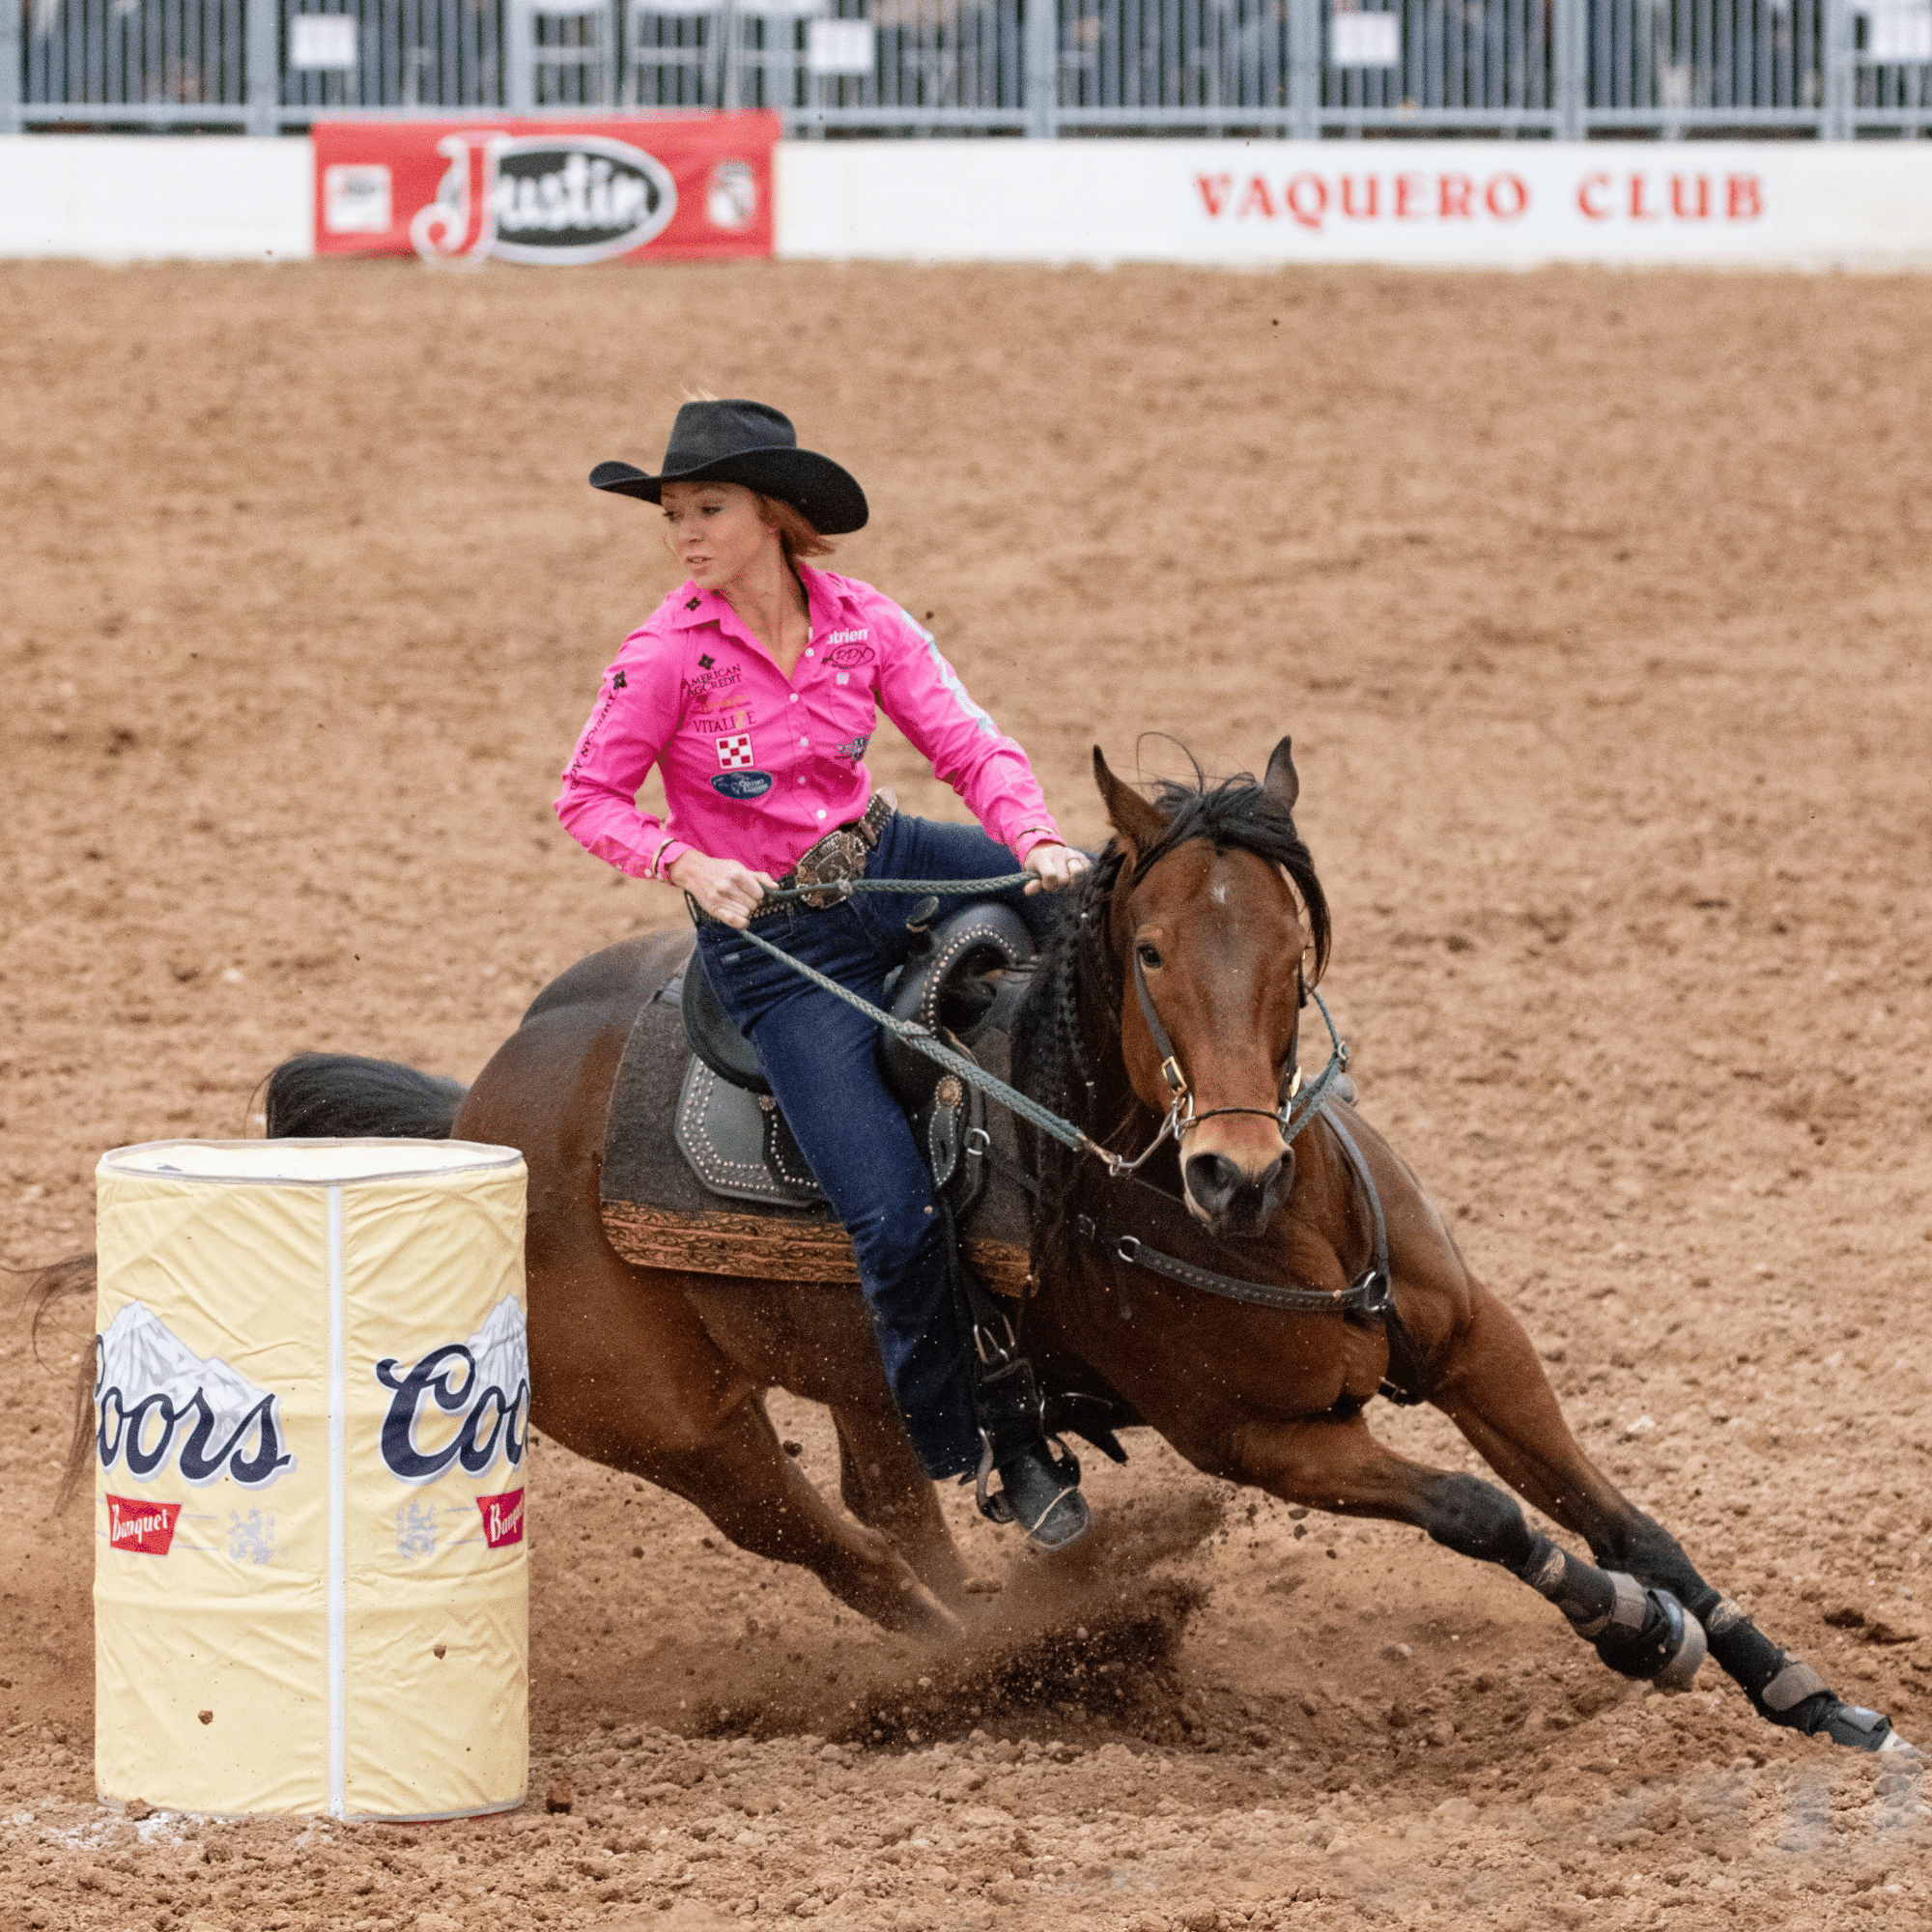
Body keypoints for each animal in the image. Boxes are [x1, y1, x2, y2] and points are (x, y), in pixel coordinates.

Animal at [52, 738, 1909, 1754]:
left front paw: (1811, 1692)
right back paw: (1009, 1666)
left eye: (1292, 944)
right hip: (682, 1430)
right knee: (847, 1557)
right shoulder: (1261, 1440)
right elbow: (1487, 1517)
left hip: (870, 1370)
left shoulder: (1475, 1342)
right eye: (1148, 953)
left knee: (896, 1509)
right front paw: (1632, 1636)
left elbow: (1625, 1512)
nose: (1232, 1173)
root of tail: (481, 1109)